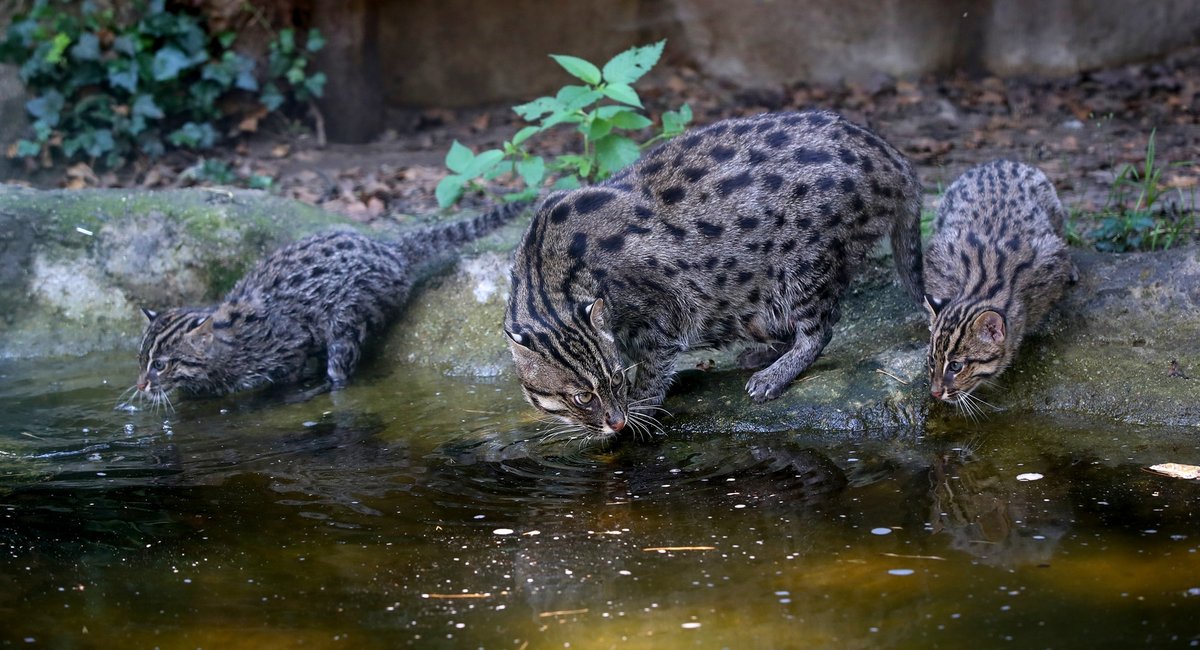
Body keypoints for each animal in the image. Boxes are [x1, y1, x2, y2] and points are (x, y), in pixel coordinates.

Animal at [133, 203, 523, 407]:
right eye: (140, 360)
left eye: (161, 365)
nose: (139, 386)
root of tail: (390, 253)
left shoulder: (289, 343)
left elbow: (288, 369)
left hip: (348, 315)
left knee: (340, 370)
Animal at [921, 160, 1084, 412]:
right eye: (931, 360)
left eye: (956, 366)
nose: (935, 393)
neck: (981, 286)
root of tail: (997, 162)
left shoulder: (1051, 255)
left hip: (1053, 207)